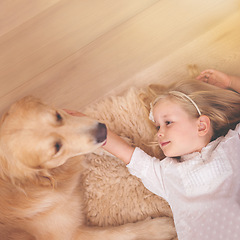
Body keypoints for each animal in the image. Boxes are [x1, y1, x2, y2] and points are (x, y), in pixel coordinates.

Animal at [0, 96, 176, 240]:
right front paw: (160, 228)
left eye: (58, 116)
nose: (102, 129)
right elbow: (121, 232)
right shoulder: (69, 234)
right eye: (56, 147)